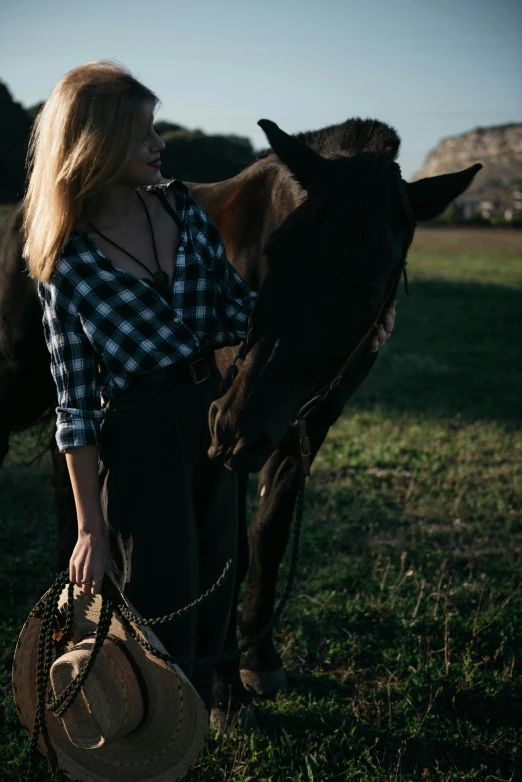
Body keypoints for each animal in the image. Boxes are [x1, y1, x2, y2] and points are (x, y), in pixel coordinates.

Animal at [0, 118, 480, 736]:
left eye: (367, 291)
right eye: (275, 253)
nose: (231, 424)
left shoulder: (301, 430)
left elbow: (268, 536)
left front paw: (260, 659)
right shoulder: (230, 449)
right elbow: (234, 553)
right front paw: (227, 690)